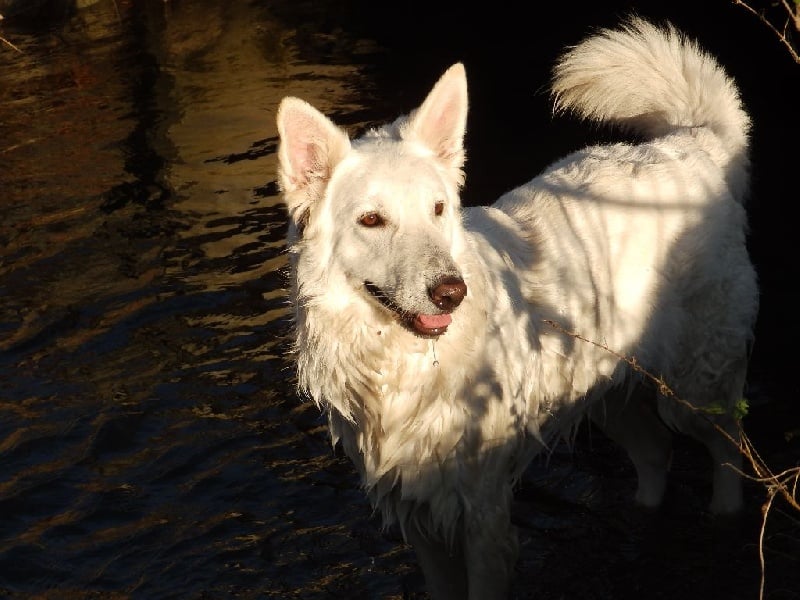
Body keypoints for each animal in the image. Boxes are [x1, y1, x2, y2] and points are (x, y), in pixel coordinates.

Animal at [276, 17, 756, 600]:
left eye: (438, 209)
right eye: (372, 220)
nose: (450, 292)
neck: (403, 366)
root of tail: (693, 144)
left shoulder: (483, 516)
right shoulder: (422, 520)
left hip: (694, 389)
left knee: (730, 451)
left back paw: (725, 517)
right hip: (608, 393)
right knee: (656, 455)